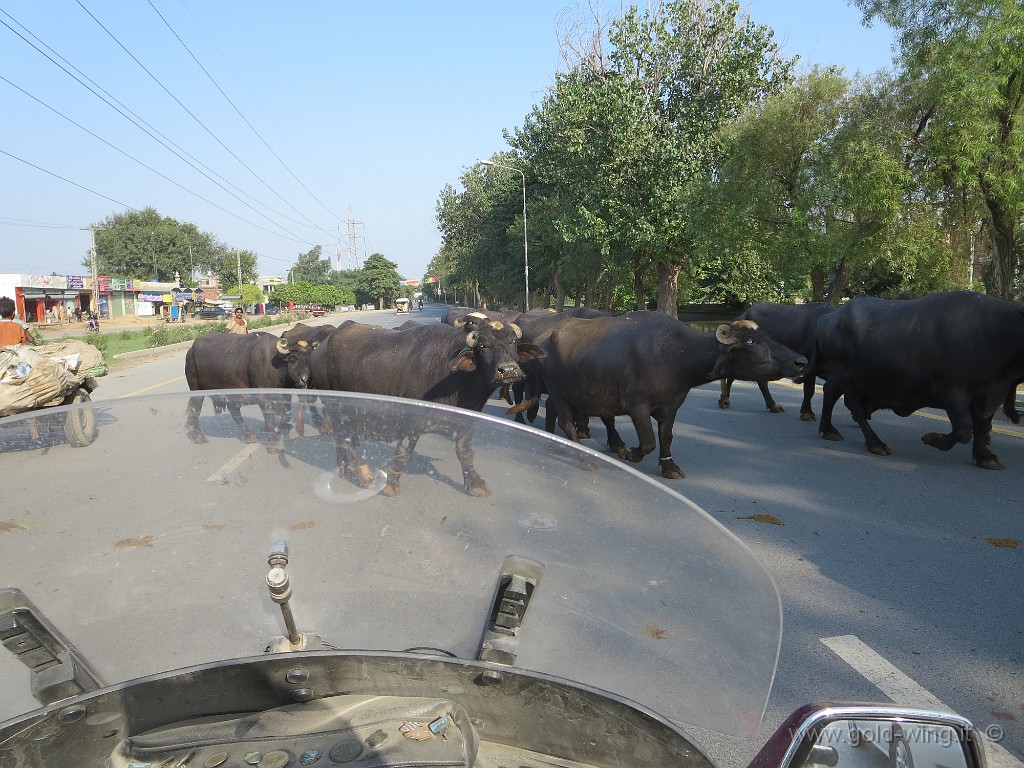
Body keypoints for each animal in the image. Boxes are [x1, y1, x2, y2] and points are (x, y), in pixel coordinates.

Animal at [184, 335, 317, 454]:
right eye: (293, 357)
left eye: (310, 357)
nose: (305, 379)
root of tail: (190, 351)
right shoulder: (263, 399)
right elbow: (270, 419)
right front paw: (272, 445)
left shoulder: (281, 398)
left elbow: (279, 417)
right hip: (197, 390)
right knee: (195, 408)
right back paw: (198, 437)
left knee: (234, 412)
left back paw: (248, 436)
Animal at [307, 315, 544, 495]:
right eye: (483, 346)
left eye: (513, 342)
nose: (508, 370)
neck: (454, 378)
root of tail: (321, 349)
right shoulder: (410, 423)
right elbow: (403, 453)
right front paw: (391, 485)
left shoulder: (465, 425)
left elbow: (465, 454)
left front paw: (475, 484)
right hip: (334, 406)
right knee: (343, 437)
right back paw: (362, 473)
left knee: (342, 439)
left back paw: (345, 469)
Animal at [536, 309, 806, 479]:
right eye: (750, 341)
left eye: (768, 337)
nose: (801, 362)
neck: (675, 354)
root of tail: (545, 341)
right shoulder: (637, 406)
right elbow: (648, 442)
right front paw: (628, 453)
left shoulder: (671, 407)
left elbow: (666, 438)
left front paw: (669, 467)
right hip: (559, 393)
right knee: (567, 423)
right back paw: (582, 454)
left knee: (554, 411)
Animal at [815, 290, 1024, 468]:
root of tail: (829, 319)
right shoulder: (951, 391)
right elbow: (964, 429)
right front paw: (933, 439)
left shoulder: (993, 394)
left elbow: (982, 425)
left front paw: (985, 457)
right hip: (847, 377)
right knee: (855, 407)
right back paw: (876, 444)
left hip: (846, 377)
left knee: (830, 390)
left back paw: (829, 430)